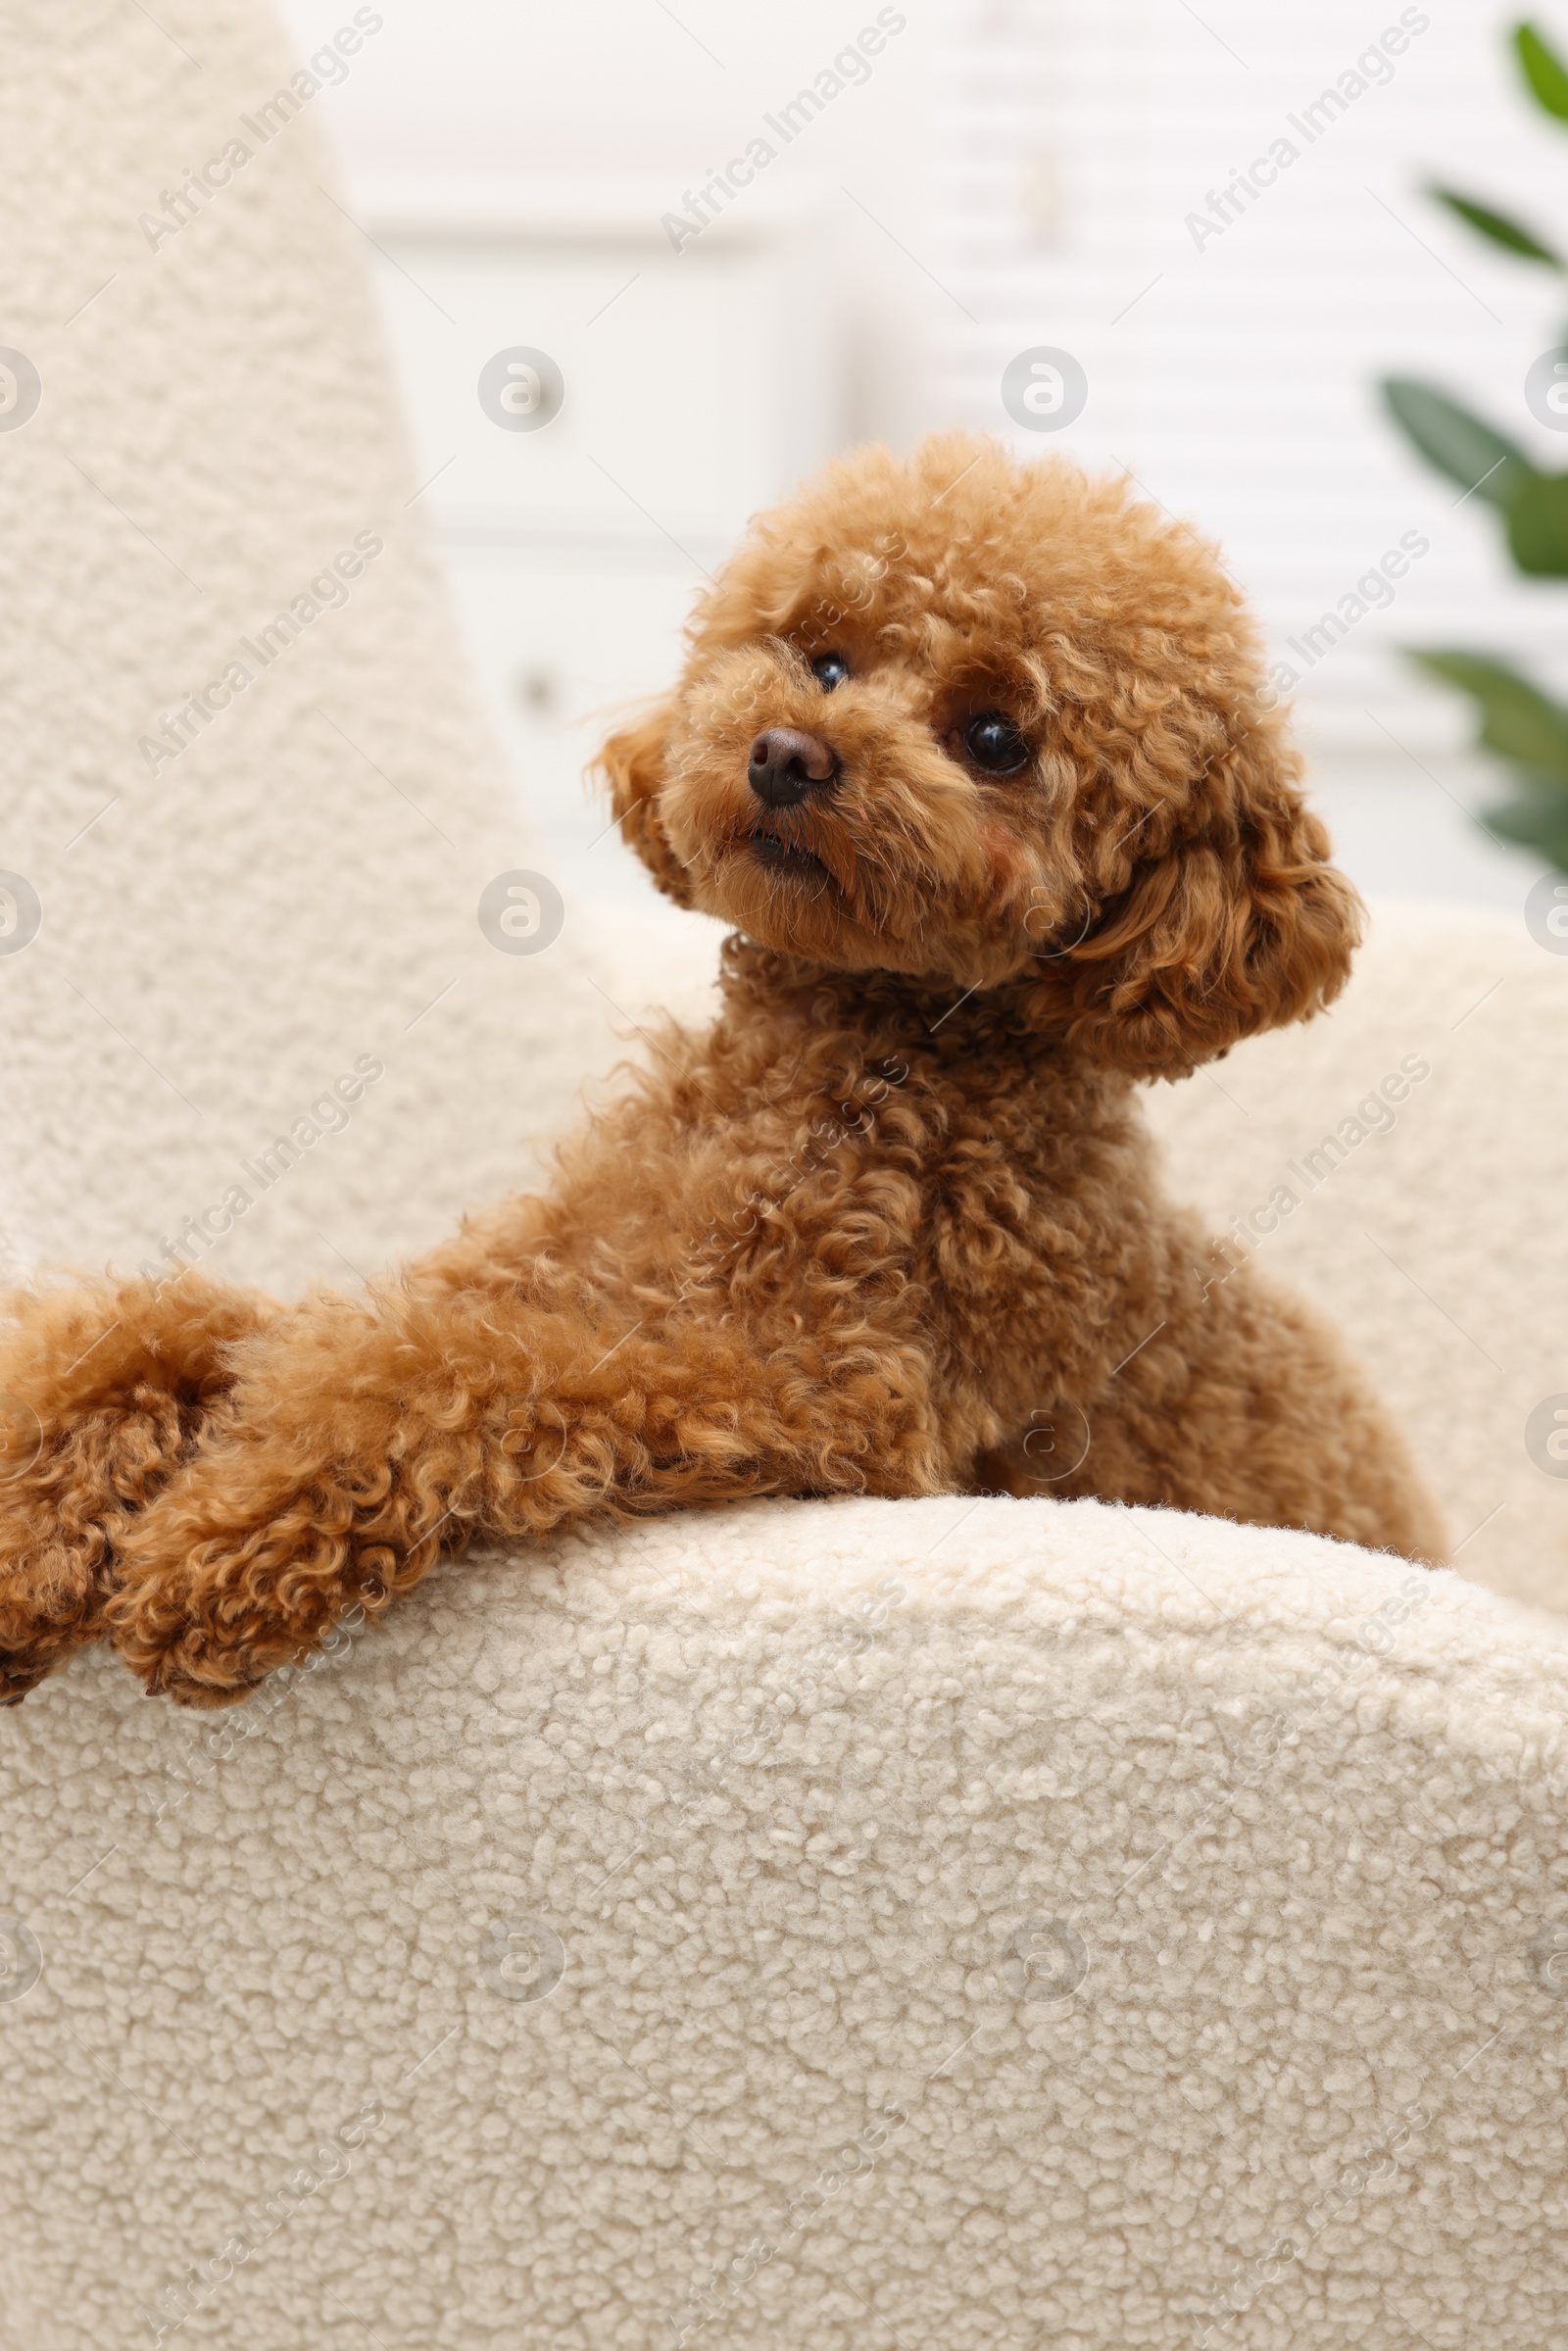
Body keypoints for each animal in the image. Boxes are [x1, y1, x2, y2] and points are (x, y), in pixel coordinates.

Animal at [0, 432, 1447, 1701]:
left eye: (996, 737)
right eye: (823, 654)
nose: (788, 753)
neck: (830, 1074)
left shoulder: (816, 1394)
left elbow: (452, 1368)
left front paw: (220, 1538)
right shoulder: (537, 1267)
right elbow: (214, 1324)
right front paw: (33, 1519)